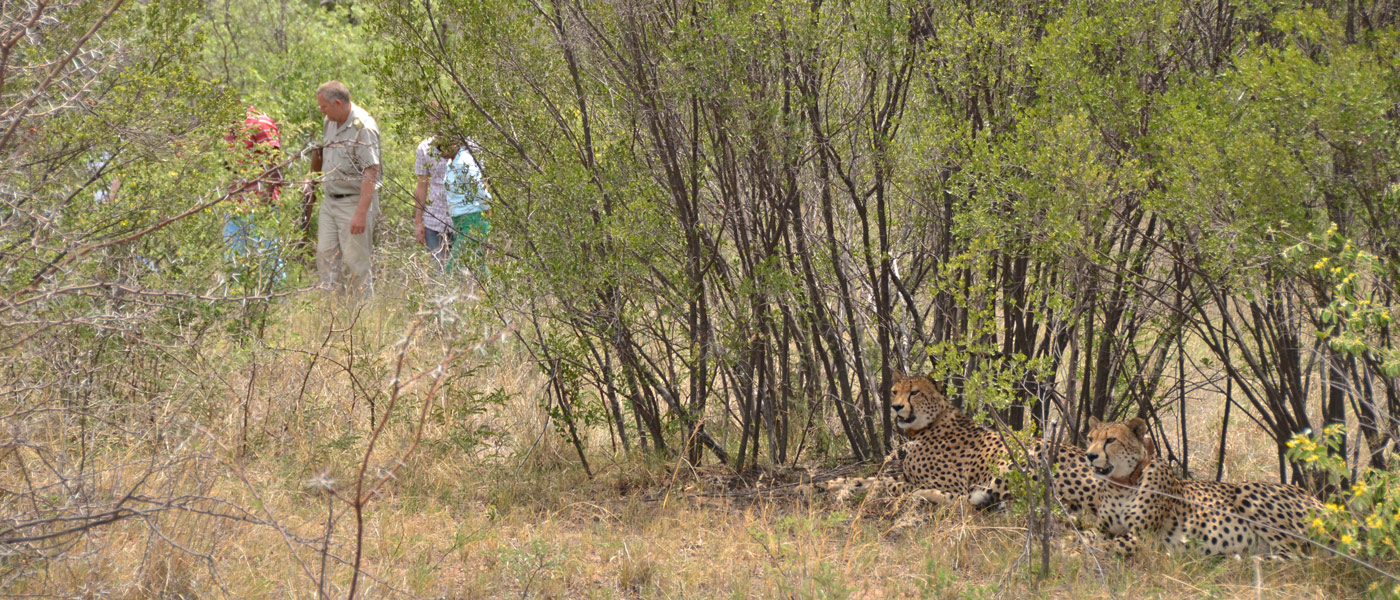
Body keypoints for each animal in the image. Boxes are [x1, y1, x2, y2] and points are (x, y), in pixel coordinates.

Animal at [1080, 413, 1321, 553]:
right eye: (1090, 439)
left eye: (1111, 440)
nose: (1090, 455)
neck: (1124, 483)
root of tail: (1313, 497)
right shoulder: (1104, 527)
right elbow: (1086, 534)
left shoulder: (1143, 537)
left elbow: (1106, 545)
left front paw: (1076, 552)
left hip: (1248, 490)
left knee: (1298, 558)